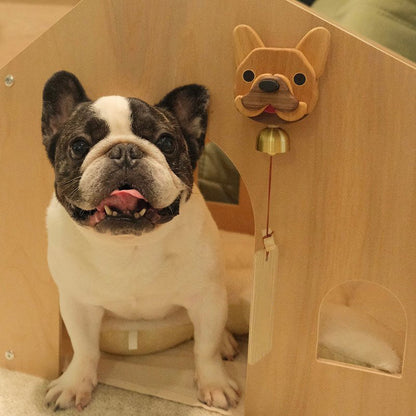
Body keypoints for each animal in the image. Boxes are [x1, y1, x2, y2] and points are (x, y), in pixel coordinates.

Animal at [42, 70, 239, 410]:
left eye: (166, 142)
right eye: (79, 145)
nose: (124, 151)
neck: (127, 247)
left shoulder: (207, 299)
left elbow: (207, 347)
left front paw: (214, 383)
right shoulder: (78, 303)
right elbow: (84, 348)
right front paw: (74, 383)